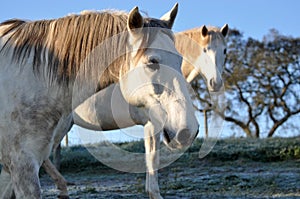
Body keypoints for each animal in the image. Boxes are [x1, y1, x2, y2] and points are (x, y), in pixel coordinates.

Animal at [0, 3, 199, 199]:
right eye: (152, 61)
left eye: (180, 60)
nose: (187, 131)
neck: (28, 80)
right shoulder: (22, 162)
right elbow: (152, 158)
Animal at [39, 23, 230, 197]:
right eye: (205, 50)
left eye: (225, 51)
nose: (216, 83)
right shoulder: (153, 124)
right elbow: (153, 159)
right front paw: (154, 193)